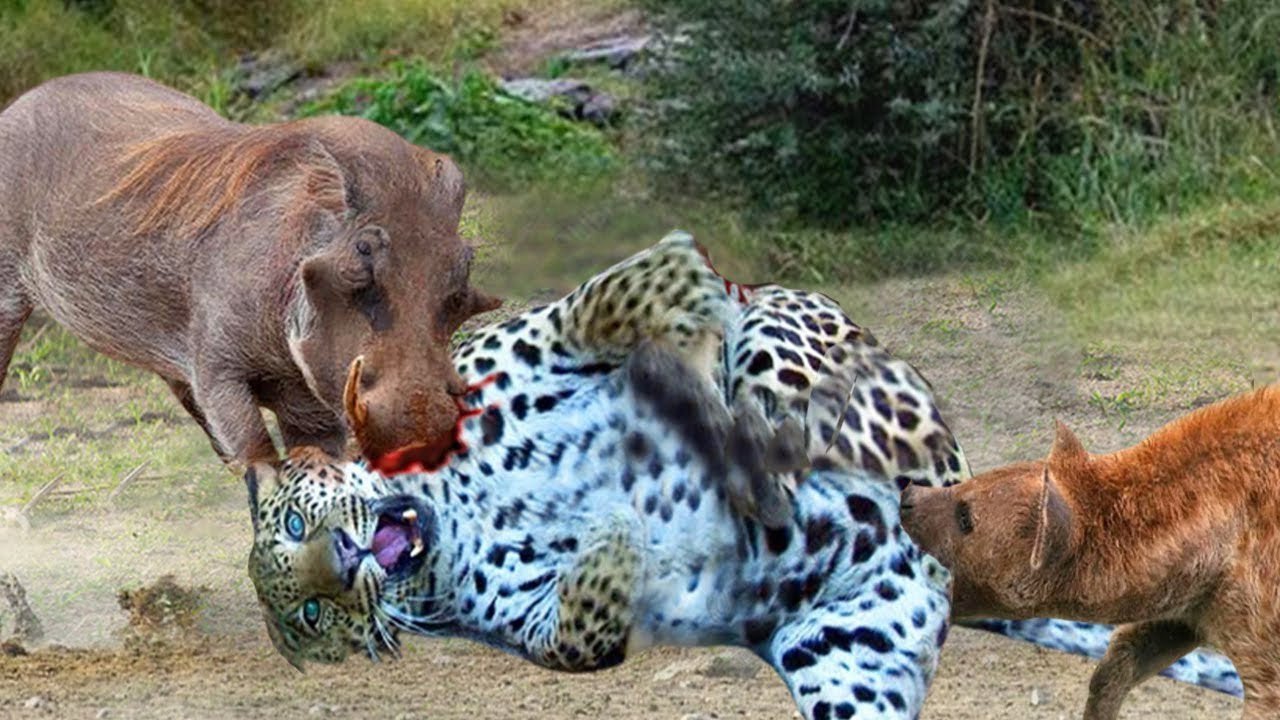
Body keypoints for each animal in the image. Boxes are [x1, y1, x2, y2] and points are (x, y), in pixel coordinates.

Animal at [246, 231, 1244, 719]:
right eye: (310, 615)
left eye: (296, 522)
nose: (343, 564)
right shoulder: (534, 621)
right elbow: (575, 634)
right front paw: (623, 544)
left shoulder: (561, 330)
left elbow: (628, 294)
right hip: (848, 659)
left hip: (800, 352)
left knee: (808, 419)